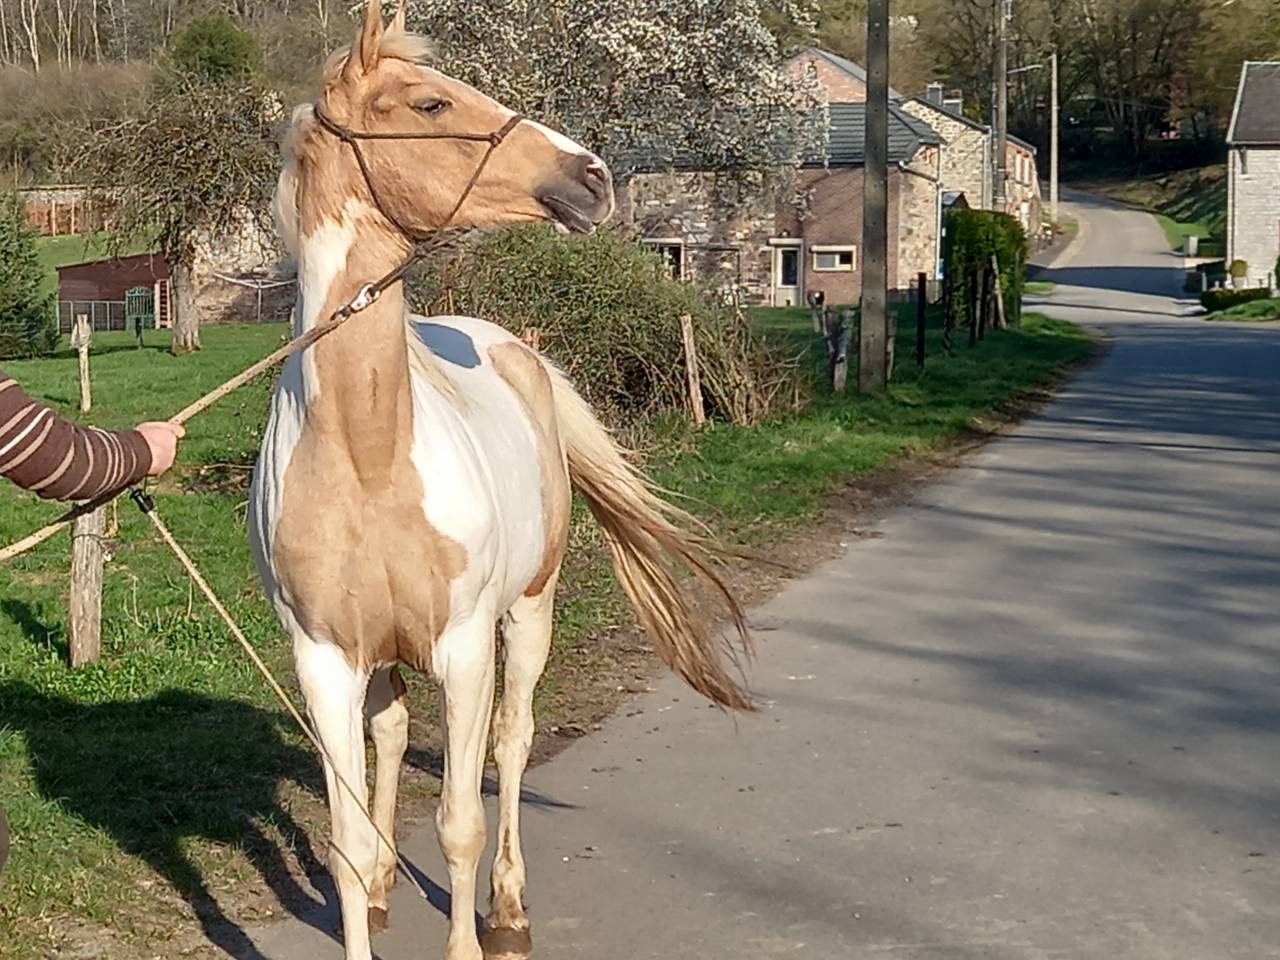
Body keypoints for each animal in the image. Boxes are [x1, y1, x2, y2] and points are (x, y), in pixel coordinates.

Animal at [248, 4, 752, 958]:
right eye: (431, 103)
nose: (591, 177)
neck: (365, 456)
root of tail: (517, 348)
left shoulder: (465, 649)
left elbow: (460, 826)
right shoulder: (323, 661)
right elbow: (343, 840)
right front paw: (366, 888)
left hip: (530, 611)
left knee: (513, 746)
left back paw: (512, 911)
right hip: (388, 657)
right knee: (392, 735)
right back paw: (385, 889)